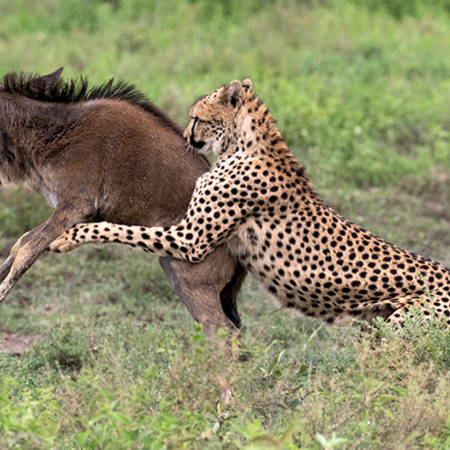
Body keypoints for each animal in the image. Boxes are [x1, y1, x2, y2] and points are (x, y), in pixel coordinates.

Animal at [50, 79, 450, 328]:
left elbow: (123, 229)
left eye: (196, 117)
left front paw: (68, 237)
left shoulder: (191, 240)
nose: (185, 136)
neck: (242, 145)